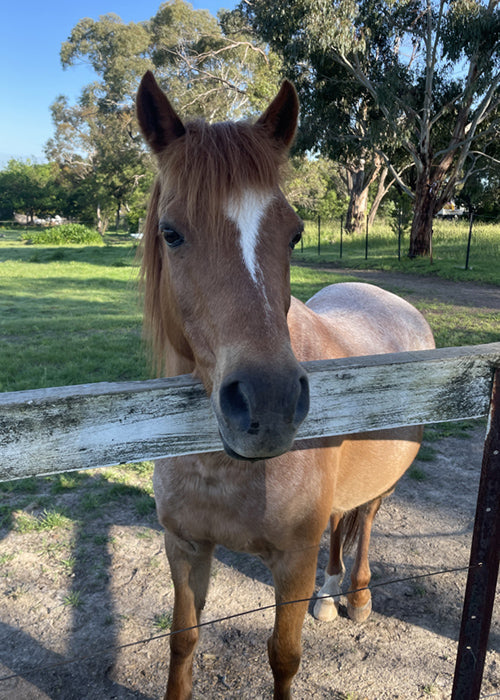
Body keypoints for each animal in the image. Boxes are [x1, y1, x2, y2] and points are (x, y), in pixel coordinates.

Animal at [136, 72, 434, 700]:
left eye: (294, 234)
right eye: (171, 233)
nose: (267, 405)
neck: (221, 466)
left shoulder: (291, 561)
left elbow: (283, 656)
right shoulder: (185, 547)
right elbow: (182, 642)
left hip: (385, 483)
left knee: (365, 520)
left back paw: (357, 597)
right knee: (341, 526)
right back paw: (330, 594)